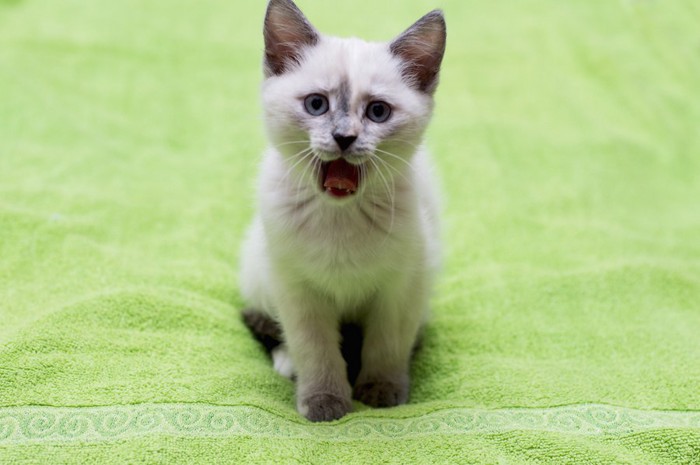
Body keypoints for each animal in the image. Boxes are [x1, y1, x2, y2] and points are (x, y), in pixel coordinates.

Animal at [238, 0, 446, 420]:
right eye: (317, 104)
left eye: (378, 112)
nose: (344, 137)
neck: (341, 213)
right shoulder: (296, 288)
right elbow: (316, 349)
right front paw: (324, 401)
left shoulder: (402, 285)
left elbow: (387, 343)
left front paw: (380, 390)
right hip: (258, 271)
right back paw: (288, 363)